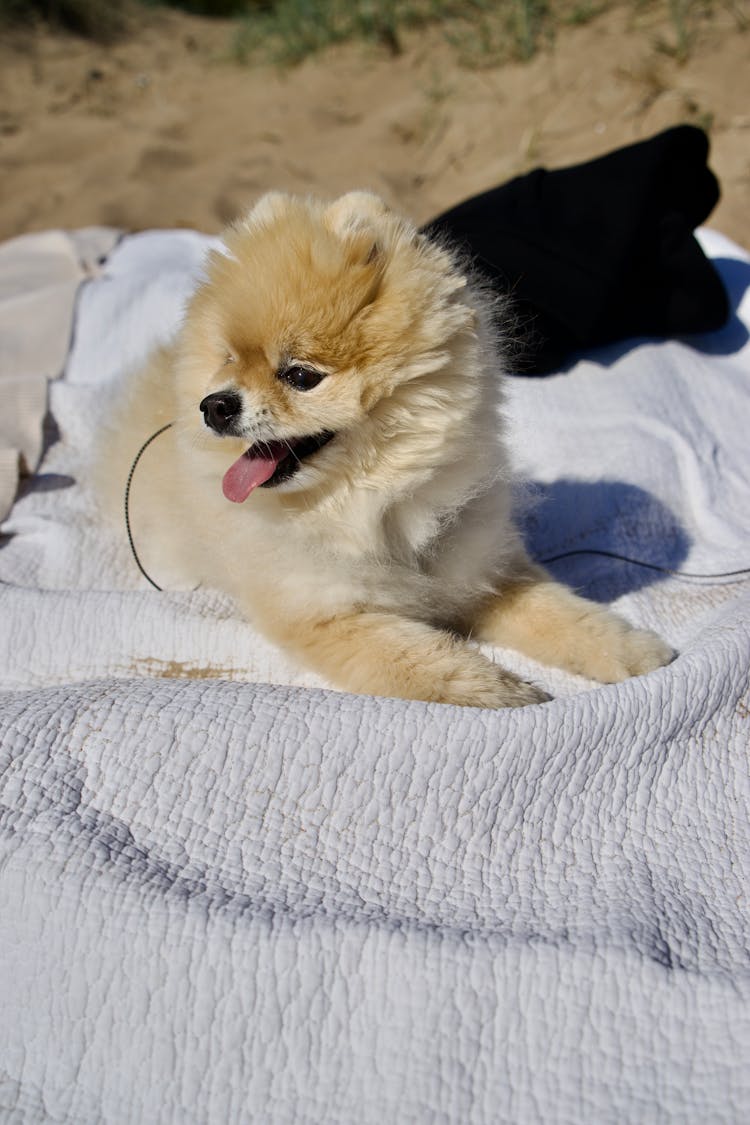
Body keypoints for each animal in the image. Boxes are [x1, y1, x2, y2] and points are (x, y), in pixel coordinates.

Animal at [95, 192, 674, 702]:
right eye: (228, 361)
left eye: (300, 376)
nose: (214, 405)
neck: (374, 503)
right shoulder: (327, 615)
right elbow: (420, 659)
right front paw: (498, 690)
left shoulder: (488, 572)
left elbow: (564, 614)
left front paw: (633, 651)